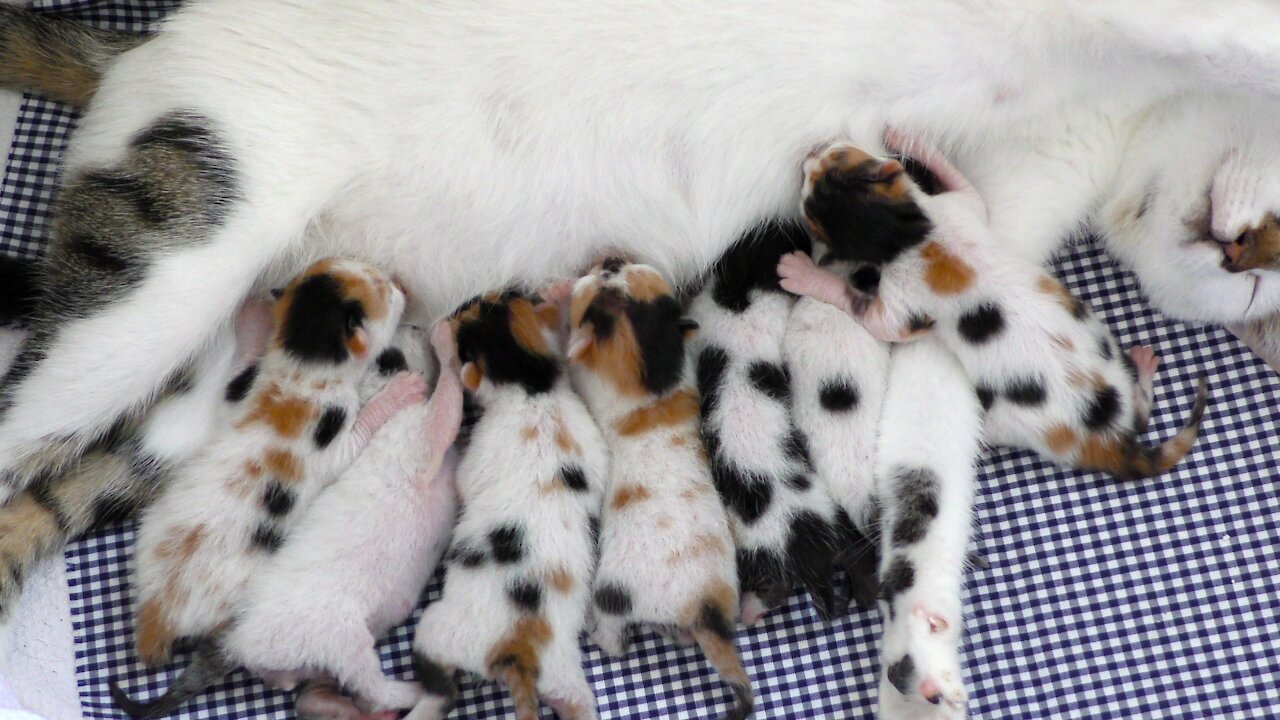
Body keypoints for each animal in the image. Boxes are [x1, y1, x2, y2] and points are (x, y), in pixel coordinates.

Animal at [107, 324, 463, 717]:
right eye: (390, 356)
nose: (415, 326)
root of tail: (237, 641)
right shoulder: (420, 434)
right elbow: (447, 402)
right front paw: (447, 344)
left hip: (307, 662)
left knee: (310, 695)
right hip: (338, 634)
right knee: (370, 686)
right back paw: (412, 694)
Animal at [126, 254, 414, 666]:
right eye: (386, 292)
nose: (402, 284)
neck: (300, 373)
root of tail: (158, 614)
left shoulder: (240, 392)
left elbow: (234, 379)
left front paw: (252, 315)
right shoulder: (336, 431)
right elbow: (358, 436)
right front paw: (401, 391)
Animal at [412, 286, 606, 717]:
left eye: (468, 319)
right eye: (494, 298)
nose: (459, 306)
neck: (533, 383)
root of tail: (519, 654)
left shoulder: (480, 453)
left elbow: (464, 482)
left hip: (438, 627)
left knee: (441, 683)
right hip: (564, 673)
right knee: (577, 701)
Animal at [565, 258, 752, 717]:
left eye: (603, 290)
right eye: (625, 273)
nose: (609, 261)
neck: (655, 384)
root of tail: (703, 610)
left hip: (613, 592)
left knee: (616, 640)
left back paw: (595, 631)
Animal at [778, 137, 1208, 479]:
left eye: (836, 157)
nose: (807, 156)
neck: (903, 236)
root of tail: (1112, 441)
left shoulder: (904, 294)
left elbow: (874, 318)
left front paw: (800, 272)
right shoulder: (956, 209)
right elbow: (965, 187)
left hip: (1009, 417)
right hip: (1109, 359)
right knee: (1141, 410)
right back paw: (1145, 366)